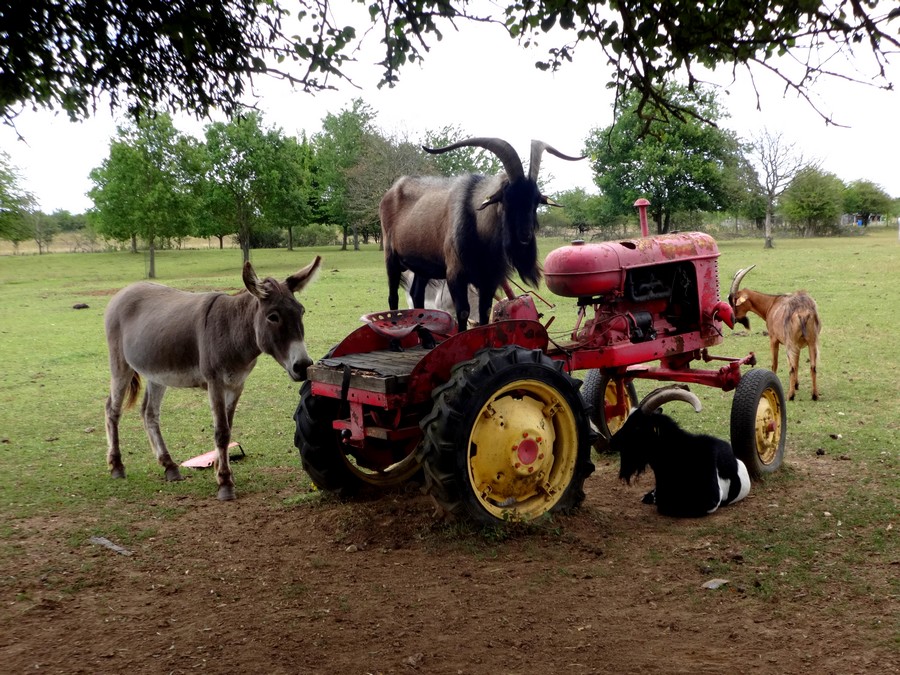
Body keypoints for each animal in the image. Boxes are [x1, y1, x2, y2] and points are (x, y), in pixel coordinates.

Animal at [728, 266, 820, 402]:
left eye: (734, 302)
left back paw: (790, 396)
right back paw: (814, 395)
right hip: (811, 342)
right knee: (812, 367)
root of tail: (802, 312)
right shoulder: (798, 345)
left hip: (790, 343)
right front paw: (796, 385)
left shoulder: (773, 339)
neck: (772, 303)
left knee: (791, 368)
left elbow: (775, 364)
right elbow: (797, 362)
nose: (733, 319)